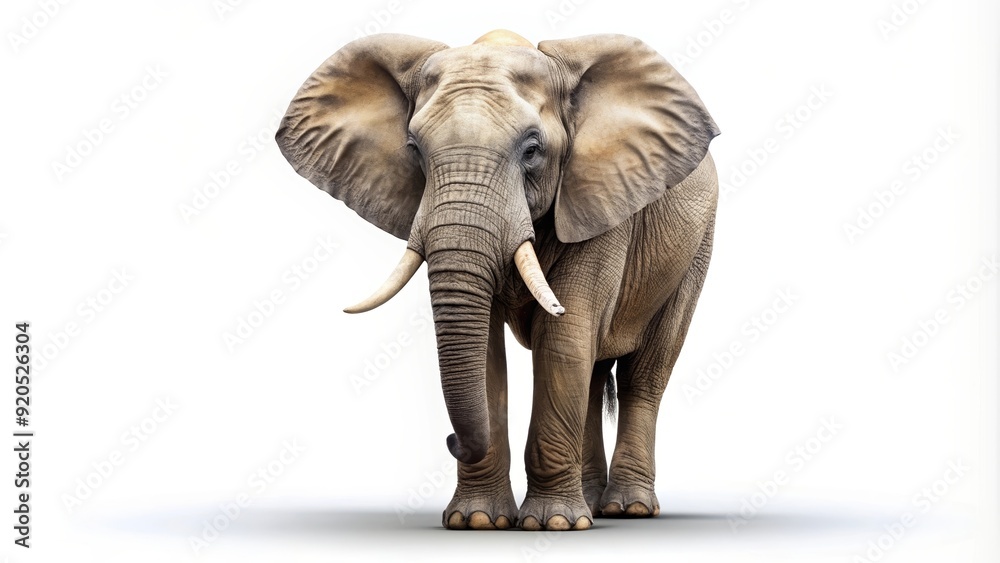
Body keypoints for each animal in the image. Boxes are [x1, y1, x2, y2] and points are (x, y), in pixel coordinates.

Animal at [275, 29, 719, 531]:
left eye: (532, 150)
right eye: (413, 149)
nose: (451, 440)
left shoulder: (599, 199)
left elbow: (564, 336)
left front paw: (554, 524)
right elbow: (489, 351)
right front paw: (477, 521)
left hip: (695, 250)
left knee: (642, 373)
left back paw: (629, 509)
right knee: (591, 373)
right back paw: (590, 503)